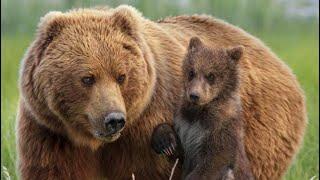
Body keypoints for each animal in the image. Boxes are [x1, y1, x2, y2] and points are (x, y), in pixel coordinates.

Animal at [16, 4, 306, 179]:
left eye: (121, 76)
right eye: (87, 78)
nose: (114, 120)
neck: (95, 143)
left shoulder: (148, 123)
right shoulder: (50, 132)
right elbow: (54, 170)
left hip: (260, 130)